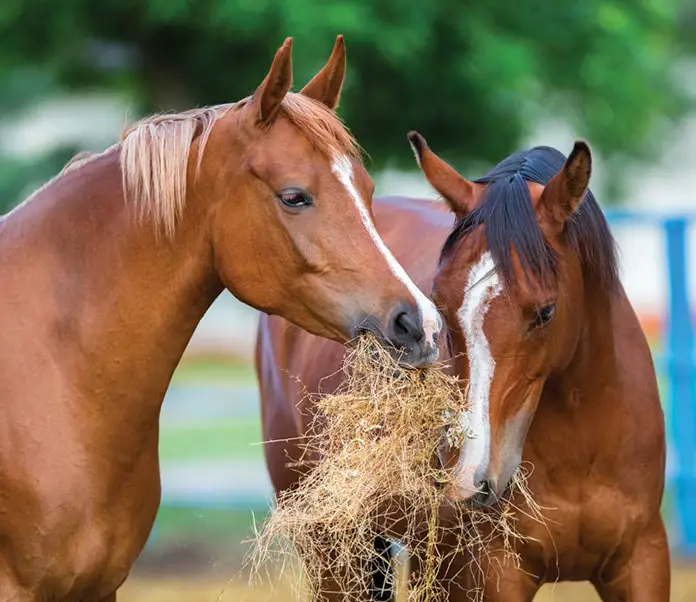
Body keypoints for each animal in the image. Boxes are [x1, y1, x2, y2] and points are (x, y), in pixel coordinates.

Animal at [256, 137, 668, 600]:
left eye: (546, 312)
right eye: (441, 304)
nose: (472, 478)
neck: (583, 448)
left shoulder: (642, 562)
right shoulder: (491, 574)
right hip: (335, 554)